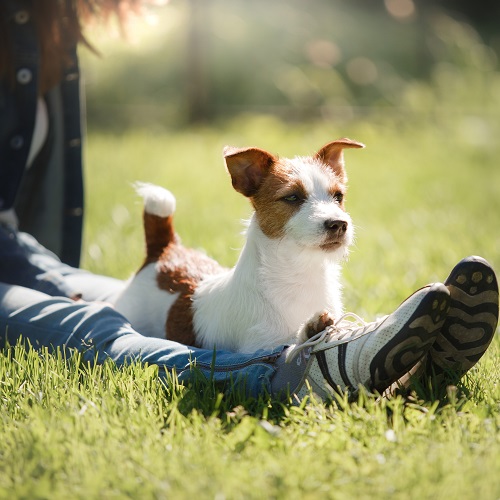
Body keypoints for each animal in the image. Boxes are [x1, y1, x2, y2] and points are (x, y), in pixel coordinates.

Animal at [112, 139, 364, 354]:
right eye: (292, 197)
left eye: (338, 196)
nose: (339, 224)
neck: (302, 275)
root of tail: (165, 249)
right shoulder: (259, 347)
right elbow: (288, 345)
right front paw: (310, 330)